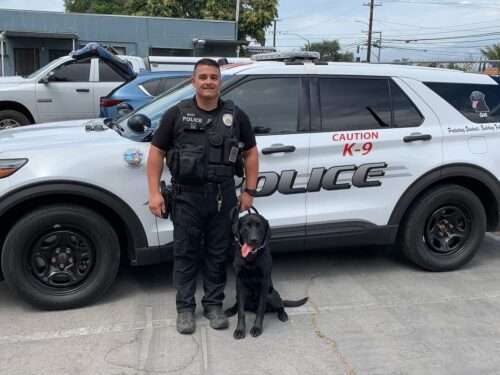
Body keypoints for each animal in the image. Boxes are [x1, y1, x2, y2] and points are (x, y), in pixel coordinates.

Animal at [225, 209, 306, 340]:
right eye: (246, 227)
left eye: (260, 227)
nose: (254, 240)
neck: (251, 259)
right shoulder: (240, 282)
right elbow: (241, 312)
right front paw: (240, 330)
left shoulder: (264, 283)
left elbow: (260, 310)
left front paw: (257, 328)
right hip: (239, 294)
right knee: (239, 305)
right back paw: (231, 310)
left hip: (271, 294)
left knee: (280, 305)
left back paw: (283, 315)